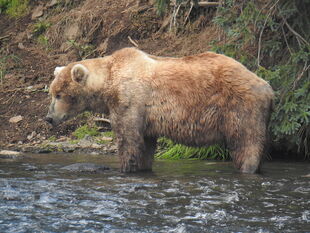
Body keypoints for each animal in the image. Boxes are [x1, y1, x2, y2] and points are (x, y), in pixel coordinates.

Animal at [46, 47, 274, 173]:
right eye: (51, 92)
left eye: (59, 94)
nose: (49, 118)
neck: (108, 83)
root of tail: (267, 86)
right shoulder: (146, 117)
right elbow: (145, 145)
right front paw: (143, 166)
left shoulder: (130, 101)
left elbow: (128, 140)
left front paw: (127, 168)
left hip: (240, 107)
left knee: (246, 142)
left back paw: (248, 168)